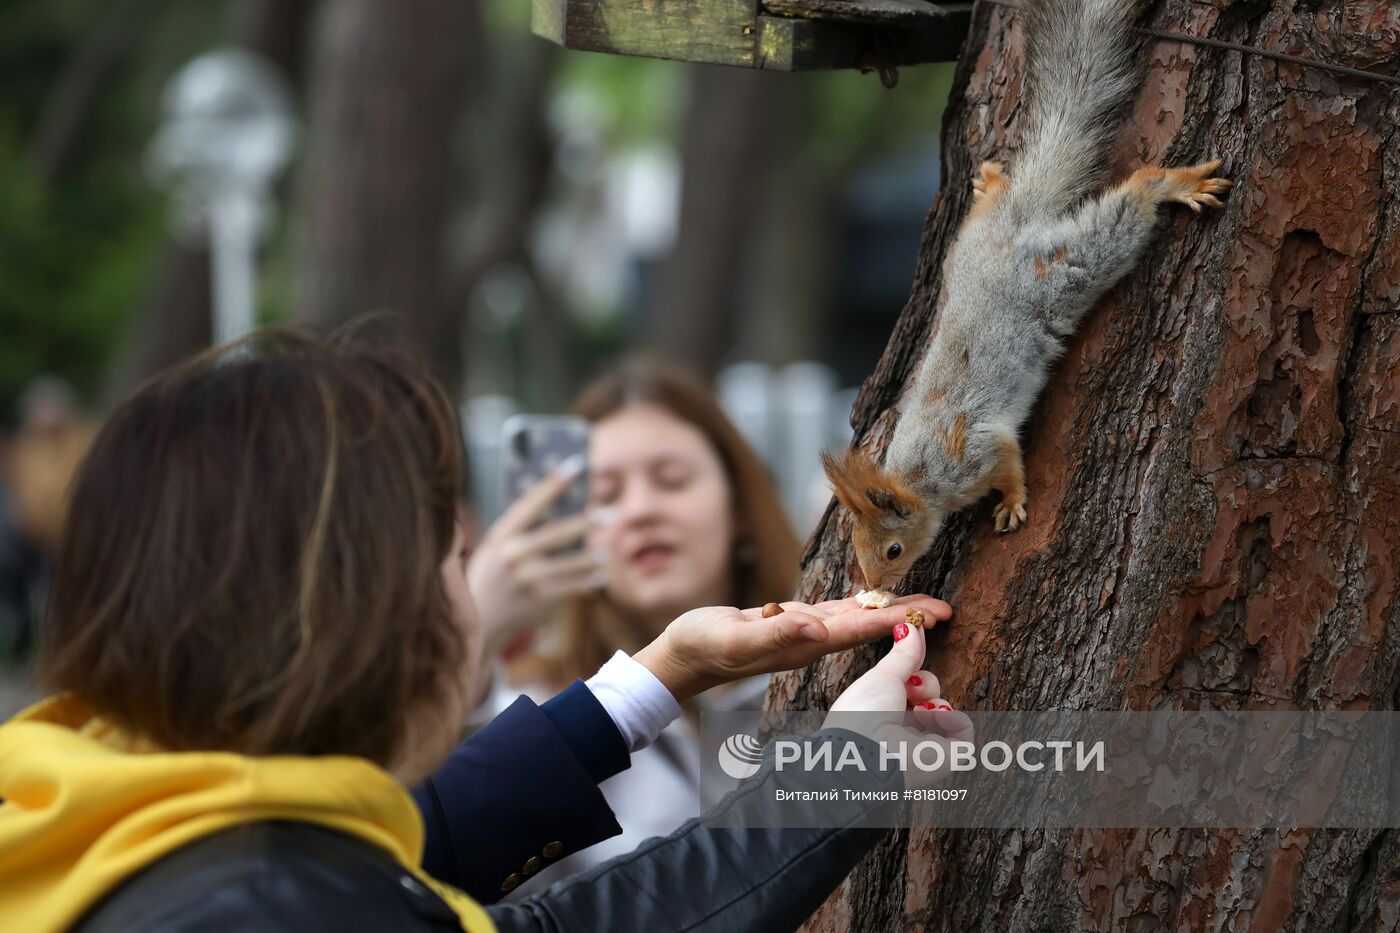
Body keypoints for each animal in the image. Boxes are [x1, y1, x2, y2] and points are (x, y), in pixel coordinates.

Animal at [823, 0, 1232, 591]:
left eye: (894, 549)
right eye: (858, 549)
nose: (875, 588)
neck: (920, 478)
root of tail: (1014, 233)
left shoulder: (978, 450)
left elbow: (1009, 459)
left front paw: (1013, 503)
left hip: (1063, 271)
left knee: (1126, 211)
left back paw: (1170, 185)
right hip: (967, 247)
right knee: (996, 205)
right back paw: (993, 182)